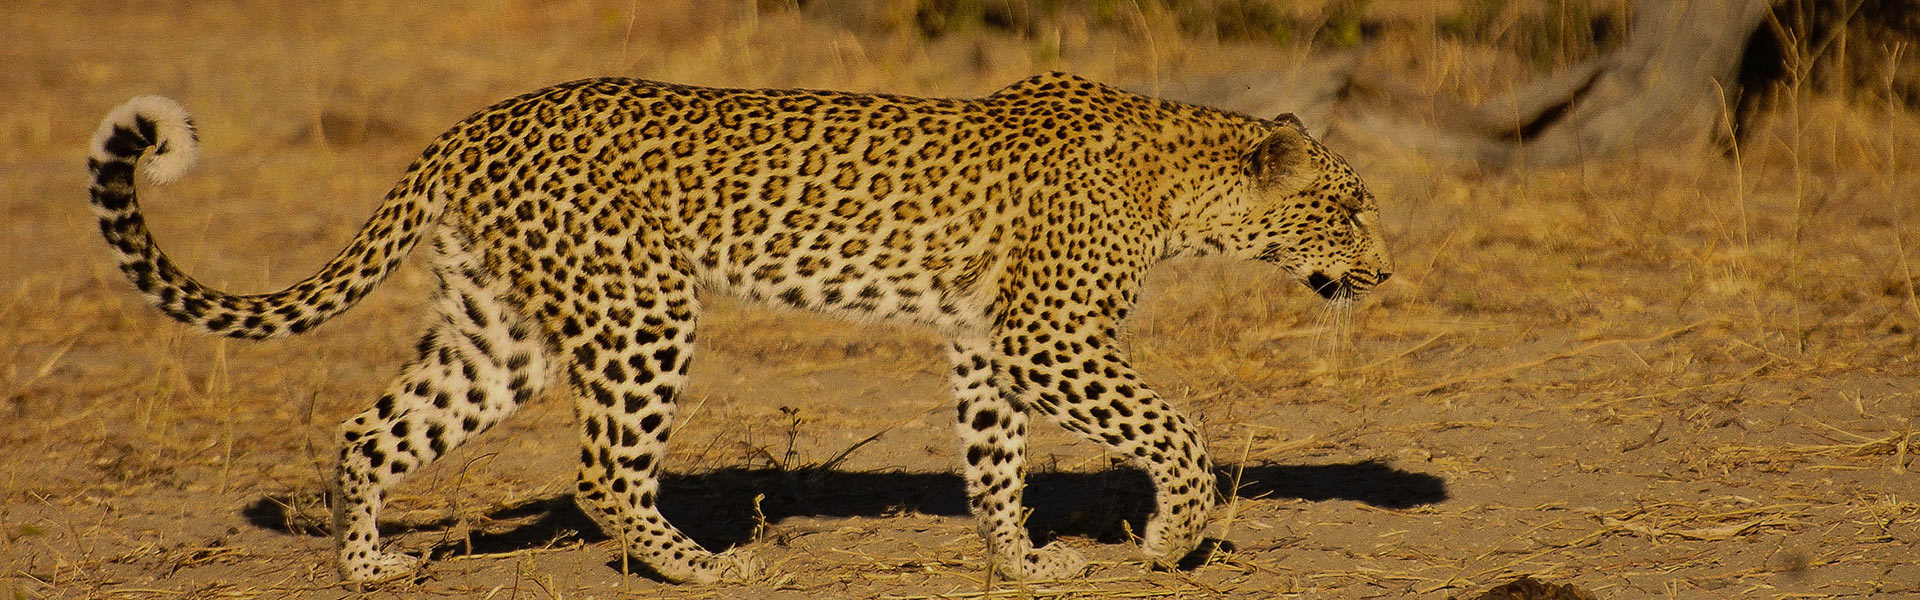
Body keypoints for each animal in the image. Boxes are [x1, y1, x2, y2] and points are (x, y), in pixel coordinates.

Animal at [86, 72, 1397, 584]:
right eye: (1347, 208)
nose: (1385, 270)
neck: (1184, 190)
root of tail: (468, 130)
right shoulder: (1045, 337)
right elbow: (1177, 424)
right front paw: (1173, 538)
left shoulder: (987, 343)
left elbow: (996, 462)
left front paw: (1021, 564)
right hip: (642, 307)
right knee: (602, 471)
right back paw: (711, 568)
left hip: (501, 336)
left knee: (371, 431)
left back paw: (369, 568)